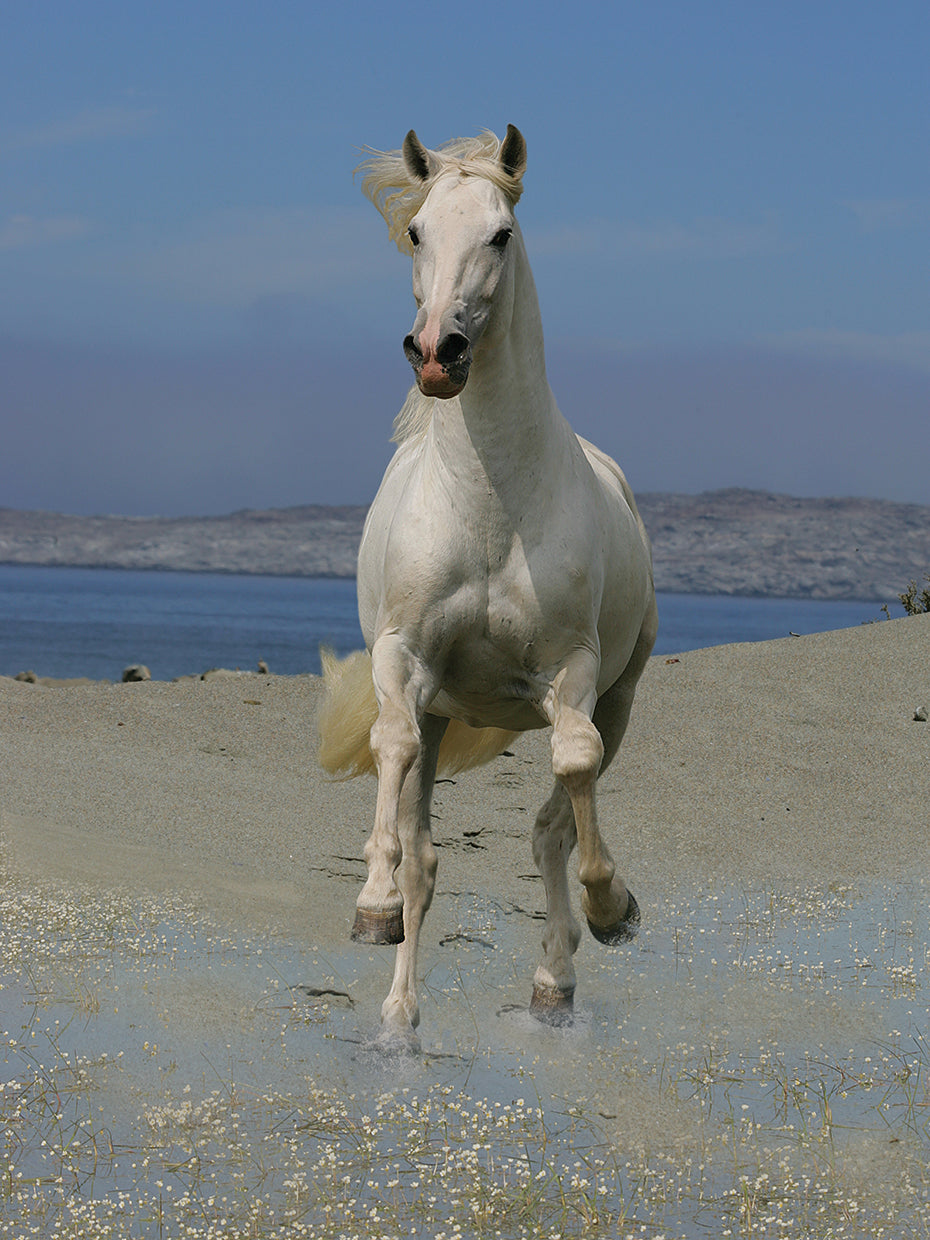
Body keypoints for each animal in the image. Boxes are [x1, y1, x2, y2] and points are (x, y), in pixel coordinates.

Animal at [318, 125, 657, 1050]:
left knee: (553, 823)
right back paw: (400, 1016)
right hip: (443, 711)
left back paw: (555, 983)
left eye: (501, 234)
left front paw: (612, 906)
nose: (438, 354)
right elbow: (392, 760)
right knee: (428, 847)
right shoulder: (403, 662)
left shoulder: (573, 672)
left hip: (617, 697)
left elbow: (571, 769)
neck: (488, 504)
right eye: (417, 232)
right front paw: (373, 902)